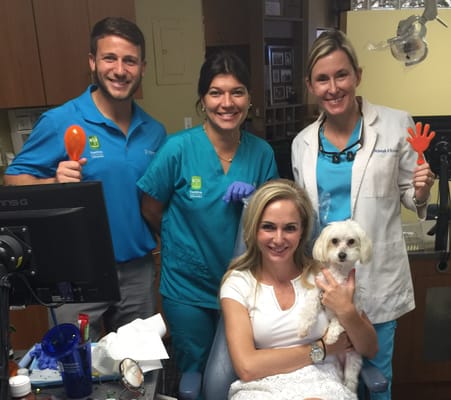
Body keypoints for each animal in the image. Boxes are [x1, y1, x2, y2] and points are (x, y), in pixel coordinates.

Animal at [298, 217, 372, 392]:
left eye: (351, 241)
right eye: (334, 241)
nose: (342, 254)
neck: (338, 275)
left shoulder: (350, 304)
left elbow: (339, 320)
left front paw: (331, 335)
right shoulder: (319, 290)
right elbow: (310, 308)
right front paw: (304, 326)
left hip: (353, 361)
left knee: (350, 381)